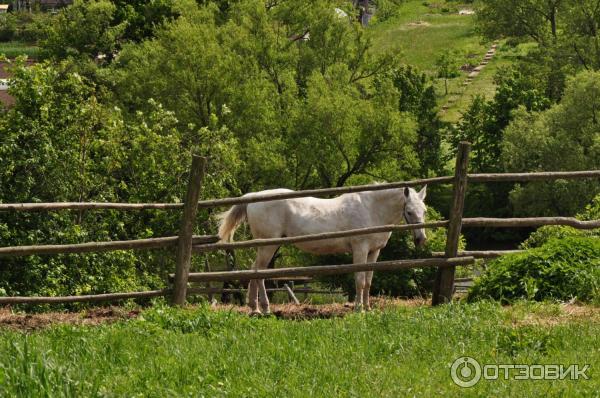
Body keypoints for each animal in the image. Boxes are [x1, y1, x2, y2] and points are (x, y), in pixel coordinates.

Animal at [217, 186, 426, 314]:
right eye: (409, 212)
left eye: (424, 210)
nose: (420, 239)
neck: (371, 209)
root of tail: (253, 198)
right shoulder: (360, 249)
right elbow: (359, 280)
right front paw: (358, 309)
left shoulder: (374, 252)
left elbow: (368, 281)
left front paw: (367, 307)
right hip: (269, 245)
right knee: (259, 272)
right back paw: (264, 308)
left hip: (266, 246)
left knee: (254, 270)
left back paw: (255, 308)